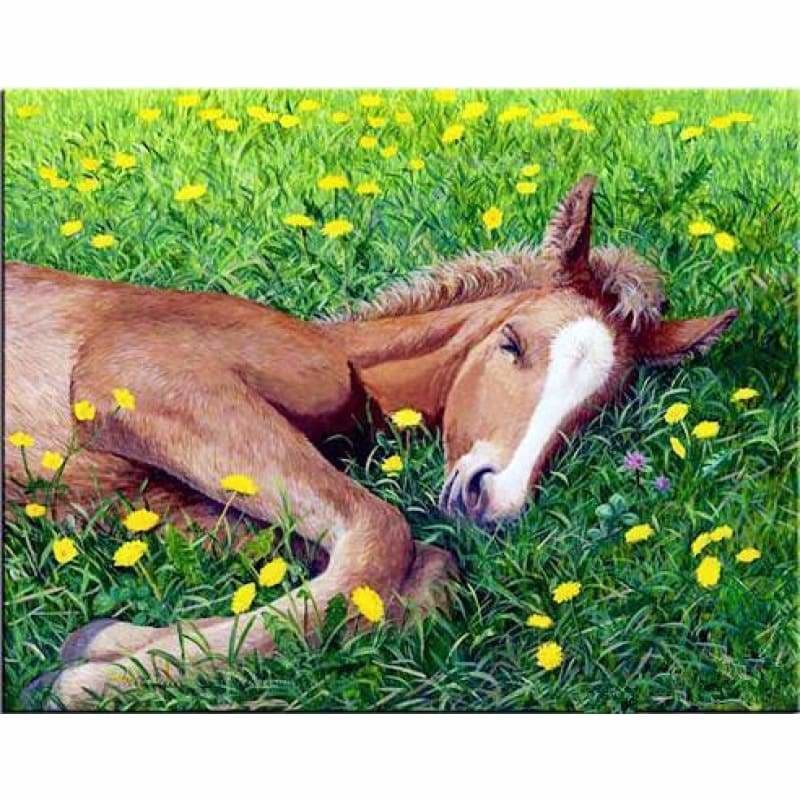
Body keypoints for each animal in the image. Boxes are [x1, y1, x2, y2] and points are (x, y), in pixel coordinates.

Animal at [7, 175, 737, 709]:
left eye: (595, 410)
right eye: (511, 343)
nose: (495, 503)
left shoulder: (149, 501)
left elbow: (410, 572)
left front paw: (97, 644)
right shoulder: (139, 381)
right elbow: (382, 536)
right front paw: (83, 680)